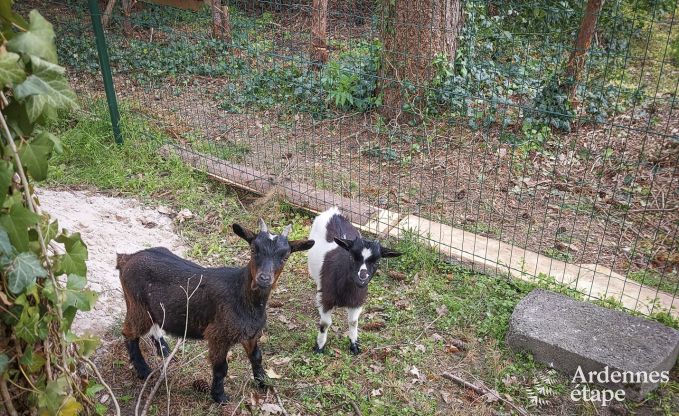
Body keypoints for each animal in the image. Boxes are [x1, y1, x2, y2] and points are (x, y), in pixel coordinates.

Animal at [117, 219, 316, 404]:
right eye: (253, 249)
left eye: (285, 256)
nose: (264, 278)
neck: (241, 294)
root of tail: (126, 258)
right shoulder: (218, 335)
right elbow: (221, 367)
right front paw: (219, 396)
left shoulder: (250, 334)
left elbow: (257, 357)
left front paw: (263, 383)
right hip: (137, 305)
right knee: (129, 332)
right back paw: (143, 370)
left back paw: (164, 349)